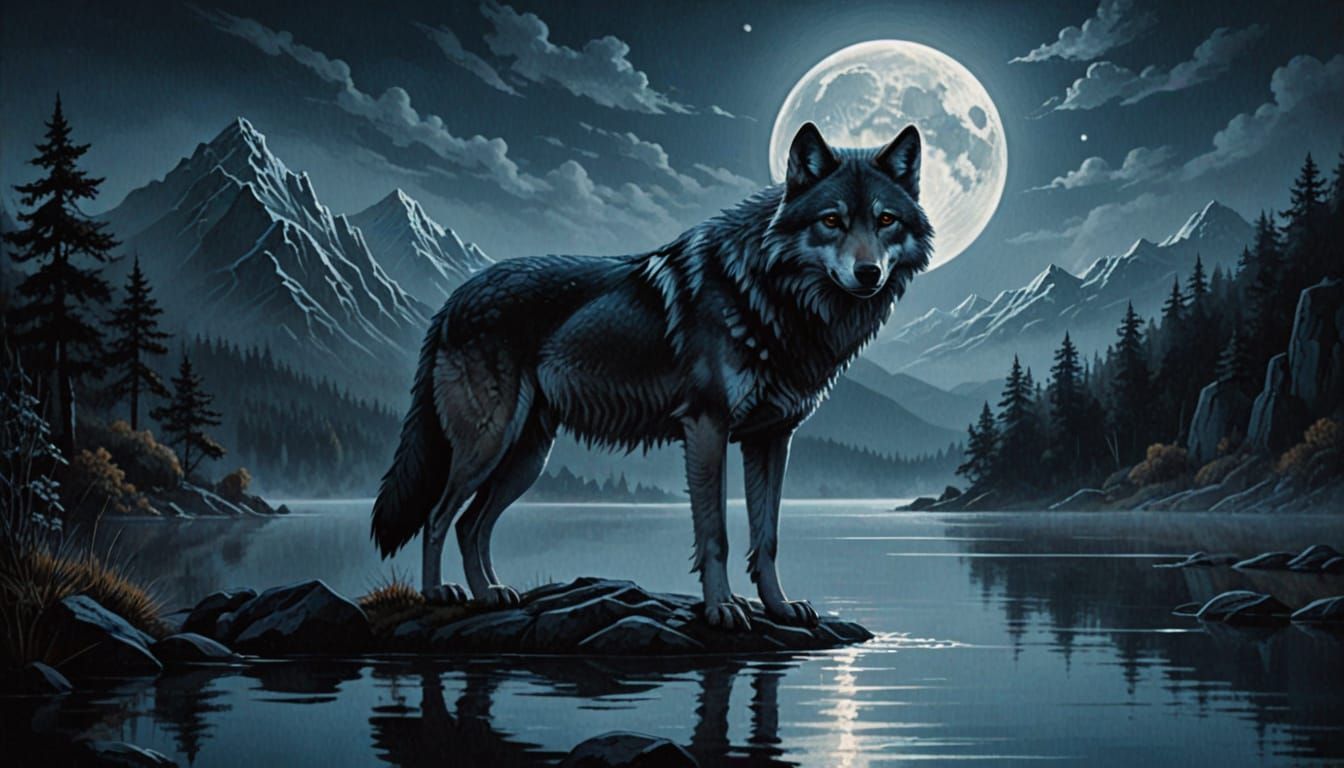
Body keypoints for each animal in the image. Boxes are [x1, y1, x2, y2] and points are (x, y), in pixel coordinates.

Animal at [371, 122, 932, 630]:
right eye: (832, 221)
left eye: (885, 220)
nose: (868, 274)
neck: (771, 297)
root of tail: (454, 297)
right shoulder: (707, 426)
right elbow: (717, 535)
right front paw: (721, 609)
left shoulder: (772, 437)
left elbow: (767, 538)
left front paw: (778, 607)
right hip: (489, 444)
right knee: (438, 516)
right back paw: (441, 593)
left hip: (526, 459)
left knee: (472, 524)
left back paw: (491, 594)